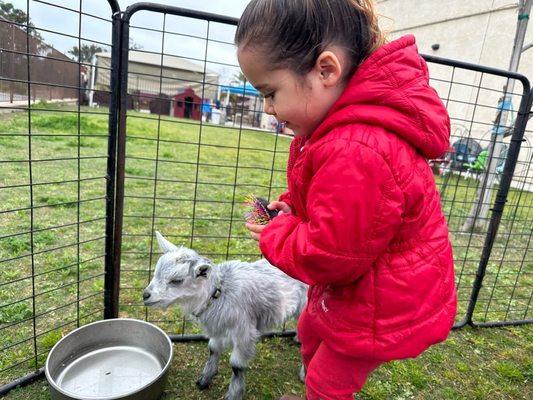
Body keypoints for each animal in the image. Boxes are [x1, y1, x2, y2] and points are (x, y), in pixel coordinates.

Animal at [143, 231, 308, 400]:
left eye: (177, 280)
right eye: (156, 272)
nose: (145, 295)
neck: (219, 294)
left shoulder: (244, 333)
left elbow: (236, 366)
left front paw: (233, 394)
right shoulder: (217, 328)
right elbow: (213, 349)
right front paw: (205, 379)